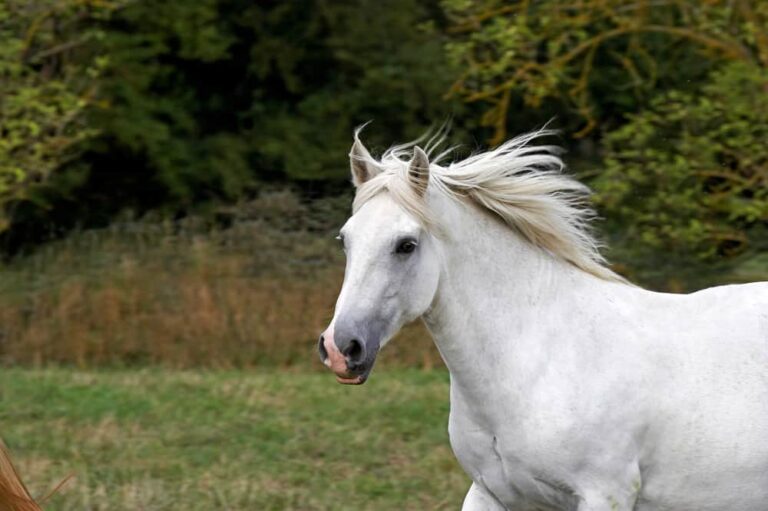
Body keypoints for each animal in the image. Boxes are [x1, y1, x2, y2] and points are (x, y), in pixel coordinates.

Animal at [317, 129, 768, 510]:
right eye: (346, 239)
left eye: (406, 245)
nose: (341, 348)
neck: (537, 363)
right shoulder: (490, 493)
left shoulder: (605, 494)